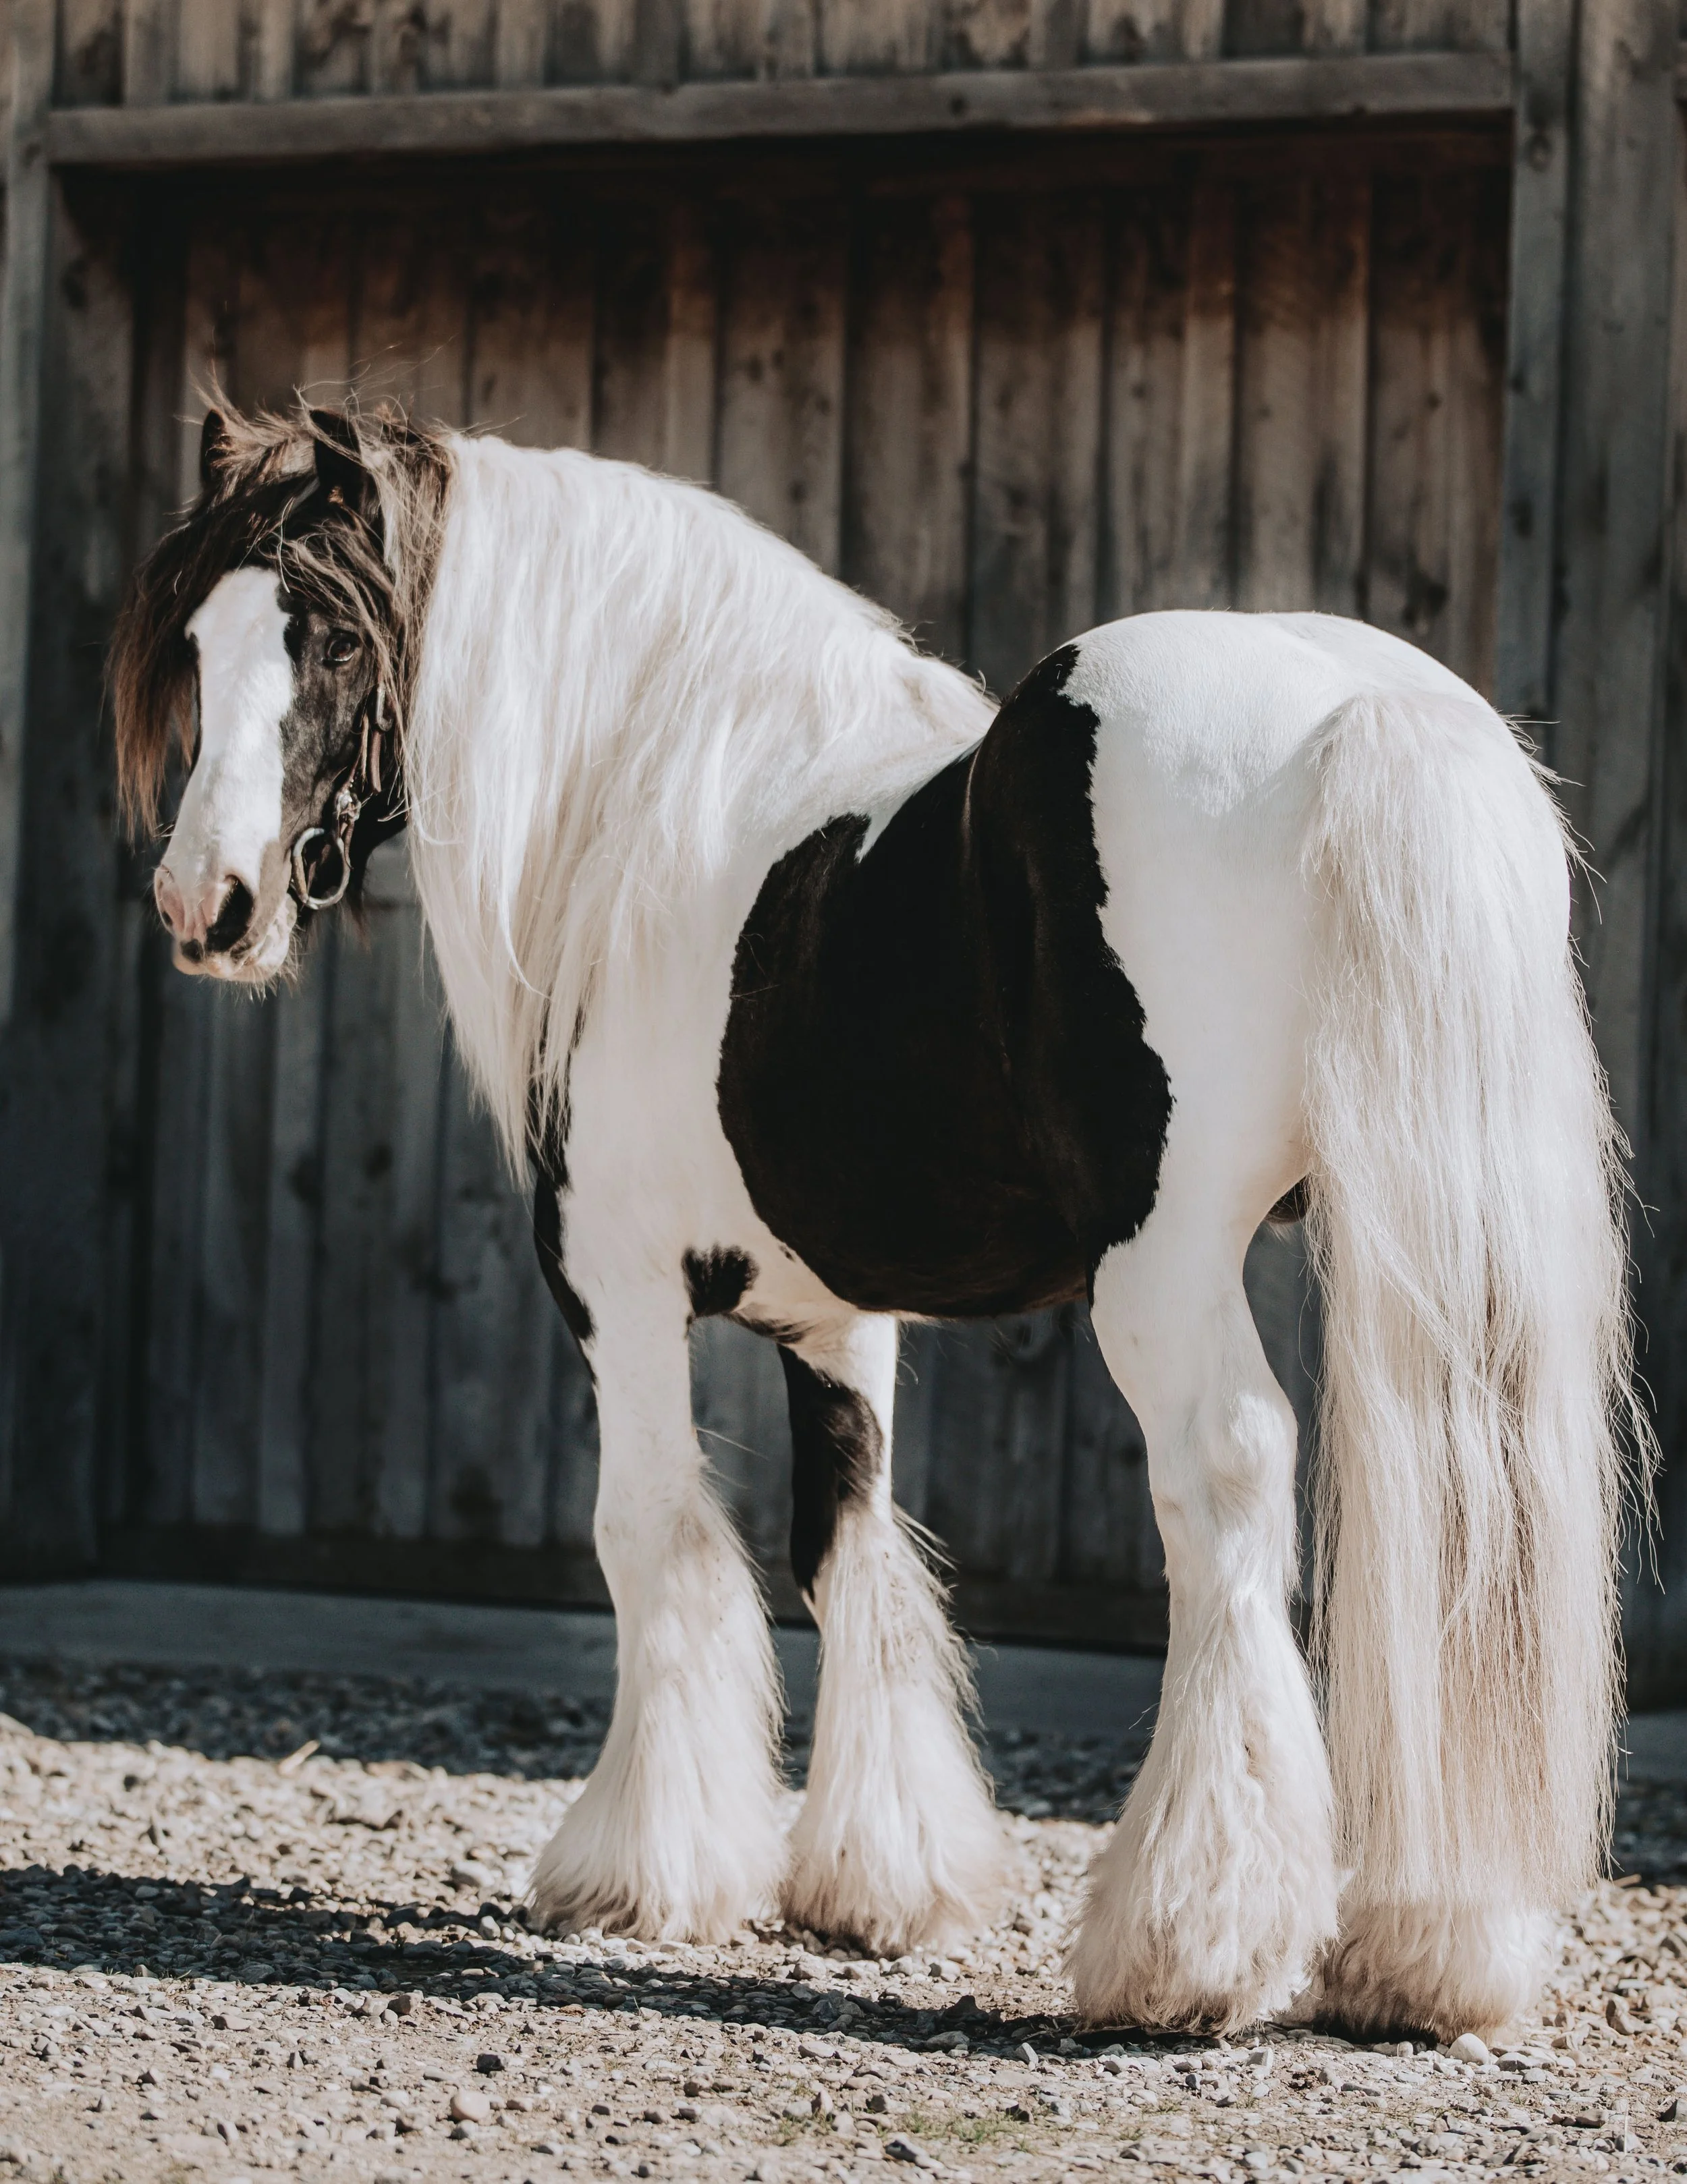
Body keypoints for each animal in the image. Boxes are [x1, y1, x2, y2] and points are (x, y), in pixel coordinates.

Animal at [109, 398, 1646, 2041]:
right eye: (197, 642)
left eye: (333, 634)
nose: (206, 904)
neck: (663, 812)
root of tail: (1360, 708)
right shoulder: (834, 1315)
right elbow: (842, 1546)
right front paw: (881, 1880)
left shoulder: (615, 1289)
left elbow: (649, 1533)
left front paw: (642, 1869)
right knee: (1463, 1503)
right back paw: (1433, 1950)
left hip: (1162, 1270)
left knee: (1228, 1483)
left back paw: (1186, 1944)